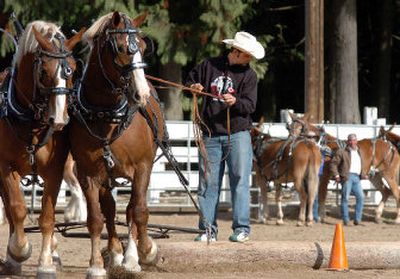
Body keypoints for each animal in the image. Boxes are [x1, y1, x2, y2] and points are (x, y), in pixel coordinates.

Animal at [0, 21, 83, 278]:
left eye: (73, 69)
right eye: (44, 71)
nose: (61, 119)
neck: (31, 122)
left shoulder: (55, 170)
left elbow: (47, 216)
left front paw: (46, 261)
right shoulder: (5, 167)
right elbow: (17, 209)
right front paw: (19, 250)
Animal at [69, 11, 165, 278]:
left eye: (143, 46)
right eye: (121, 48)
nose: (141, 94)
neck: (107, 115)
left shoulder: (142, 167)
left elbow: (139, 210)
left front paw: (143, 253)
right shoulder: (88, 174)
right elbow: (96, 218)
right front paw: (96, 265)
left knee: (133, 208)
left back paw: (133, 255)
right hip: (107, 176)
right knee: (110, 210)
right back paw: (115, 253)